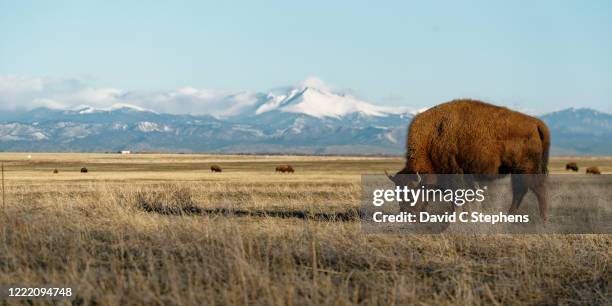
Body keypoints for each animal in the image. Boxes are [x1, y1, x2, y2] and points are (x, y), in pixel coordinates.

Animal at [390, 100, 552, 222]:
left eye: (412, 191)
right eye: (398, 191)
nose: (406, 213)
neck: (432, 139)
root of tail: (536, 123)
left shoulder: (455, 175)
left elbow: (459, 198)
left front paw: (460, 219)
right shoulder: (467, 176)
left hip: (526, 171)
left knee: (538, 191)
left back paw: (542, 221)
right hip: (517, 172)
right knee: (520, 192)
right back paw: (509, 218)